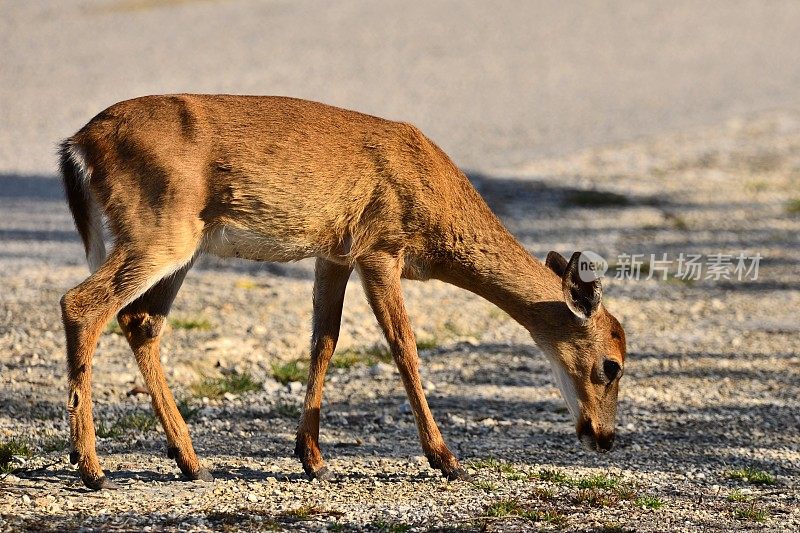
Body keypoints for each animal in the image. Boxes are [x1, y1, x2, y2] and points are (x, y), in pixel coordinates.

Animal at [59, 93, 628, 488]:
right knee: (81, 304)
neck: (437, 207)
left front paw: (313, 459)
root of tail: (77, 145)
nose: (604, 437)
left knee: (139, 321)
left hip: (178, 243)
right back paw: (91, 468)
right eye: (612, 365)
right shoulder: (380, 247)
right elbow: (404, 348)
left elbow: (324, 341)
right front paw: (447, 460)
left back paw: (191, 462)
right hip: (158, 229)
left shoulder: (334, 252)